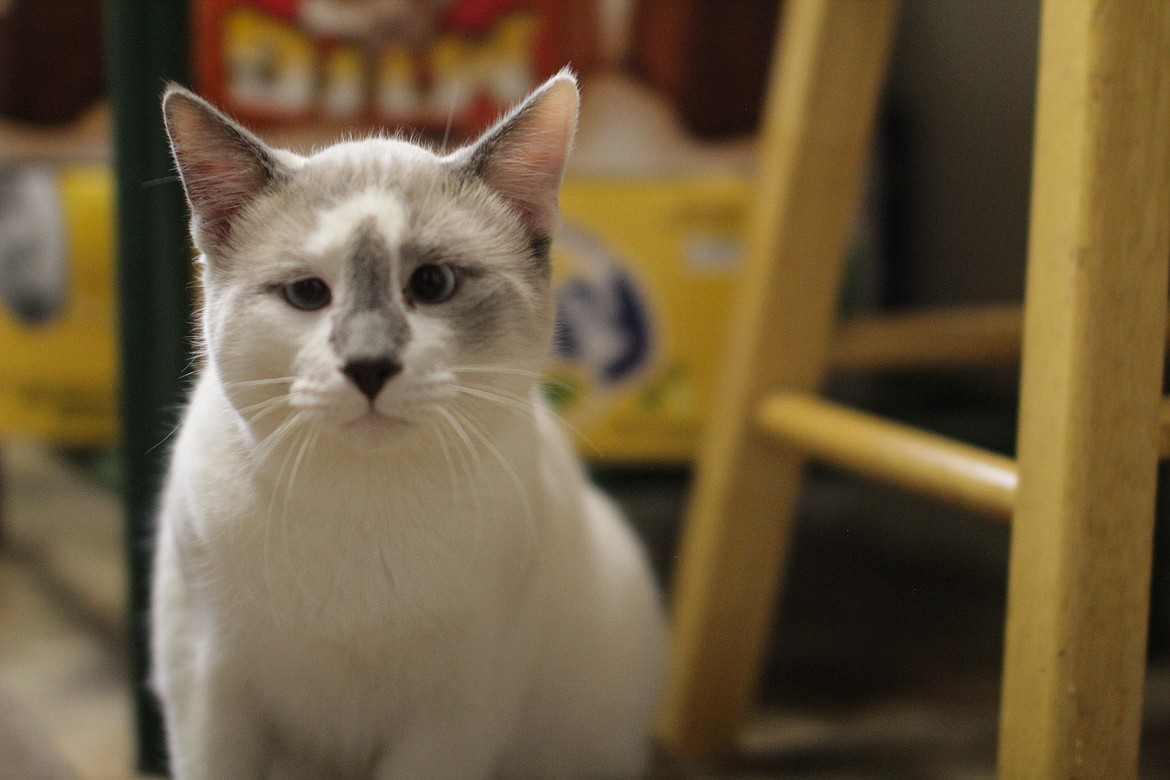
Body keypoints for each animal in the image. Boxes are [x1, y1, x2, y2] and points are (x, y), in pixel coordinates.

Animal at [150, 70, 673, 776]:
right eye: (308, 294)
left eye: (433, 284)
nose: (369, 365)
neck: (365, 502)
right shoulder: (210, 697)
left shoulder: (452, 719)